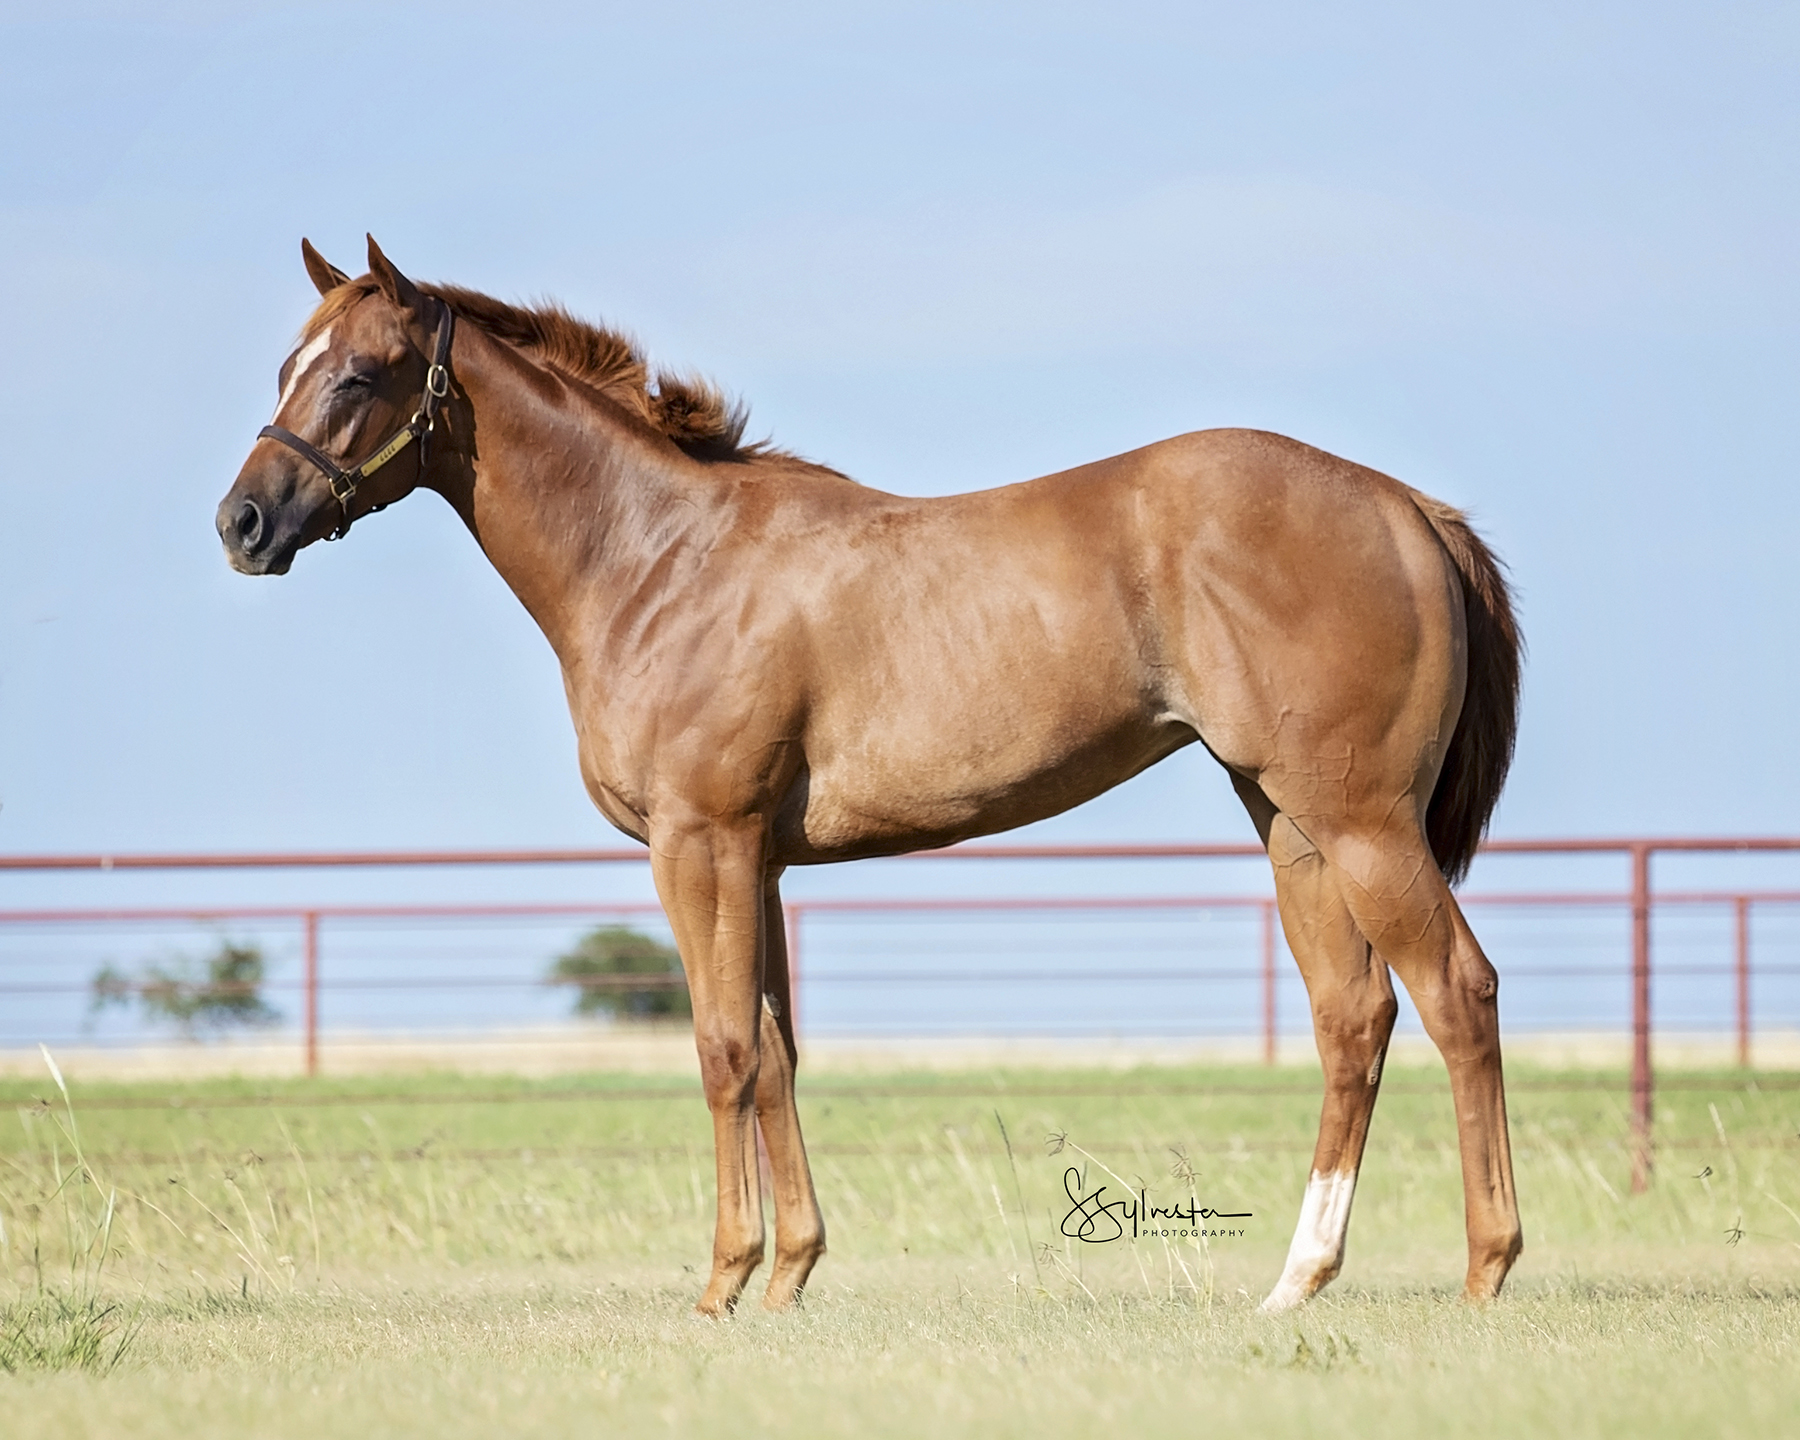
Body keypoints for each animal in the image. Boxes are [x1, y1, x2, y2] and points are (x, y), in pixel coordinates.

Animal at [217, 235, 1526, 1317]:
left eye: (358, 375)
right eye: (286, 365)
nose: (242, 524)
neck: (659, 560)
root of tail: (1407, 506)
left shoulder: (700, 843)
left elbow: (721, 1049)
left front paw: (724, 1283)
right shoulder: (759, 860)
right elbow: (777, 1051)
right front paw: (791, 1275)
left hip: (1363, 823)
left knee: (1458, 993)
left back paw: (1485, 1269)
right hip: (1291, 822)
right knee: (1353, 1018)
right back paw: (1297, 1282)